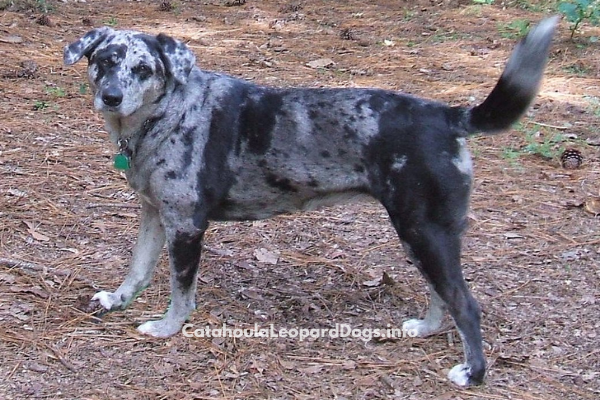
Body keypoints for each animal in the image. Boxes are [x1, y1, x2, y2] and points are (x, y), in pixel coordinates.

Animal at [64, 17, 556, 386]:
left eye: (144, 69)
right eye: (105, 61)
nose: (110, 97)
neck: (168, 113)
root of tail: (449, 115)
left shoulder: (185, 225)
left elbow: (180, 291)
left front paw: (167, 329)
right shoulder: (153, 213)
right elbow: (138, 268)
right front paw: (117, 300)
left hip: (425, 233)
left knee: (466, 303)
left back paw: (473, 373)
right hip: (419, 236)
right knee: (442, 294)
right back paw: (426, 328)